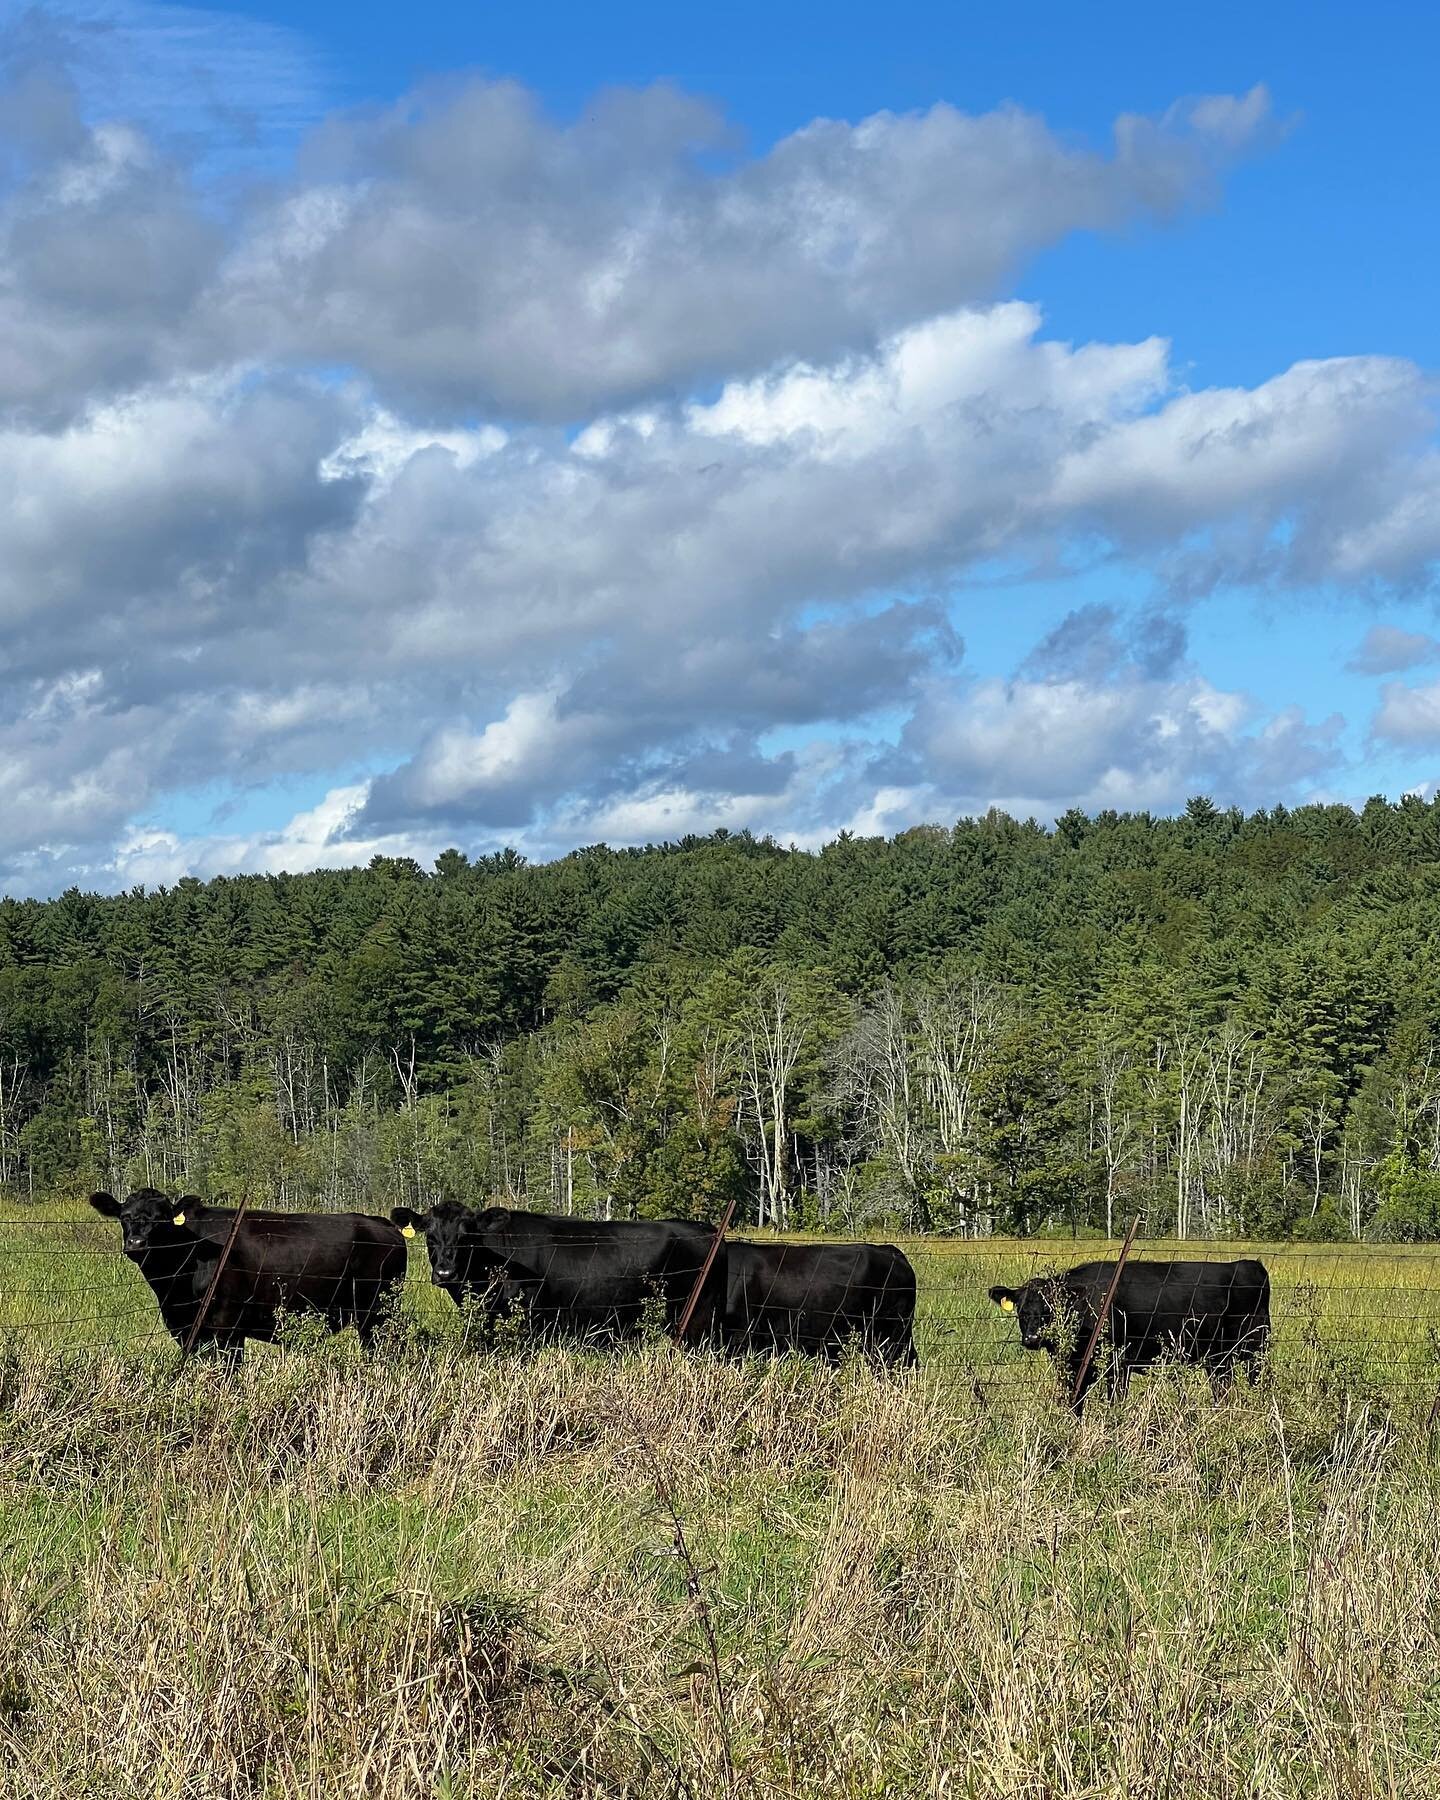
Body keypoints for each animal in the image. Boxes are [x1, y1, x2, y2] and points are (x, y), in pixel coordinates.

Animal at [90, 1188, 408, 1353]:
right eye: (124, 1216)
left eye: (163, 1218)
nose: (137, 1243)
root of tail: (380, 1223)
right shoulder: (185, 1329)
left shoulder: (226, 1326)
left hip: (376, 1311)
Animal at [388, 1202, 727, 1346]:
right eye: (430, 1236)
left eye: (466, 1236)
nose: (445, 1272)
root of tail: (706, 1228)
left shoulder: (531, 1320)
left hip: (694, 1318)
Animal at [993, 1260, 1274, 1411]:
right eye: (1020, 1308)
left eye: (1051, 1308)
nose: (1032, 1339)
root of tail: (1251, 1265)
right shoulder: (1074, 1367)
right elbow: (1075, 1403)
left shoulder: (1118, 1363)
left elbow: (1114, 1401)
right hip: (1219, 1358)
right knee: (1223, 1388)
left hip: (1256, 1349)